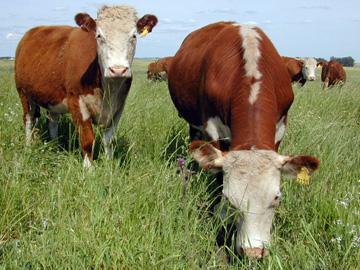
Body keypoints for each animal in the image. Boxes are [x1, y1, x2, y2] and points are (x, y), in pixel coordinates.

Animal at [14, 5, 158, 168]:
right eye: (99, 36)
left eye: (133, 36)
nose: (118, 70)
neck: (107, 89)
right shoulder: (77, 102)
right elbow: (87, 140)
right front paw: (88, 169)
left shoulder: (118, 107)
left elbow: (109, 141)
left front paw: (109, 166)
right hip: (23, 93)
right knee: (28, 119)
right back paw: (28, 146)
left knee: (53, 121)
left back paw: (55, 146)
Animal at [167, 22, 320, 258]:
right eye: (230, 200)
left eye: (277, 198)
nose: (253, 252)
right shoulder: (212, 128)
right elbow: (217, 178)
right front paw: (220, 216)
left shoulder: (280, 129)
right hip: (193, 124)